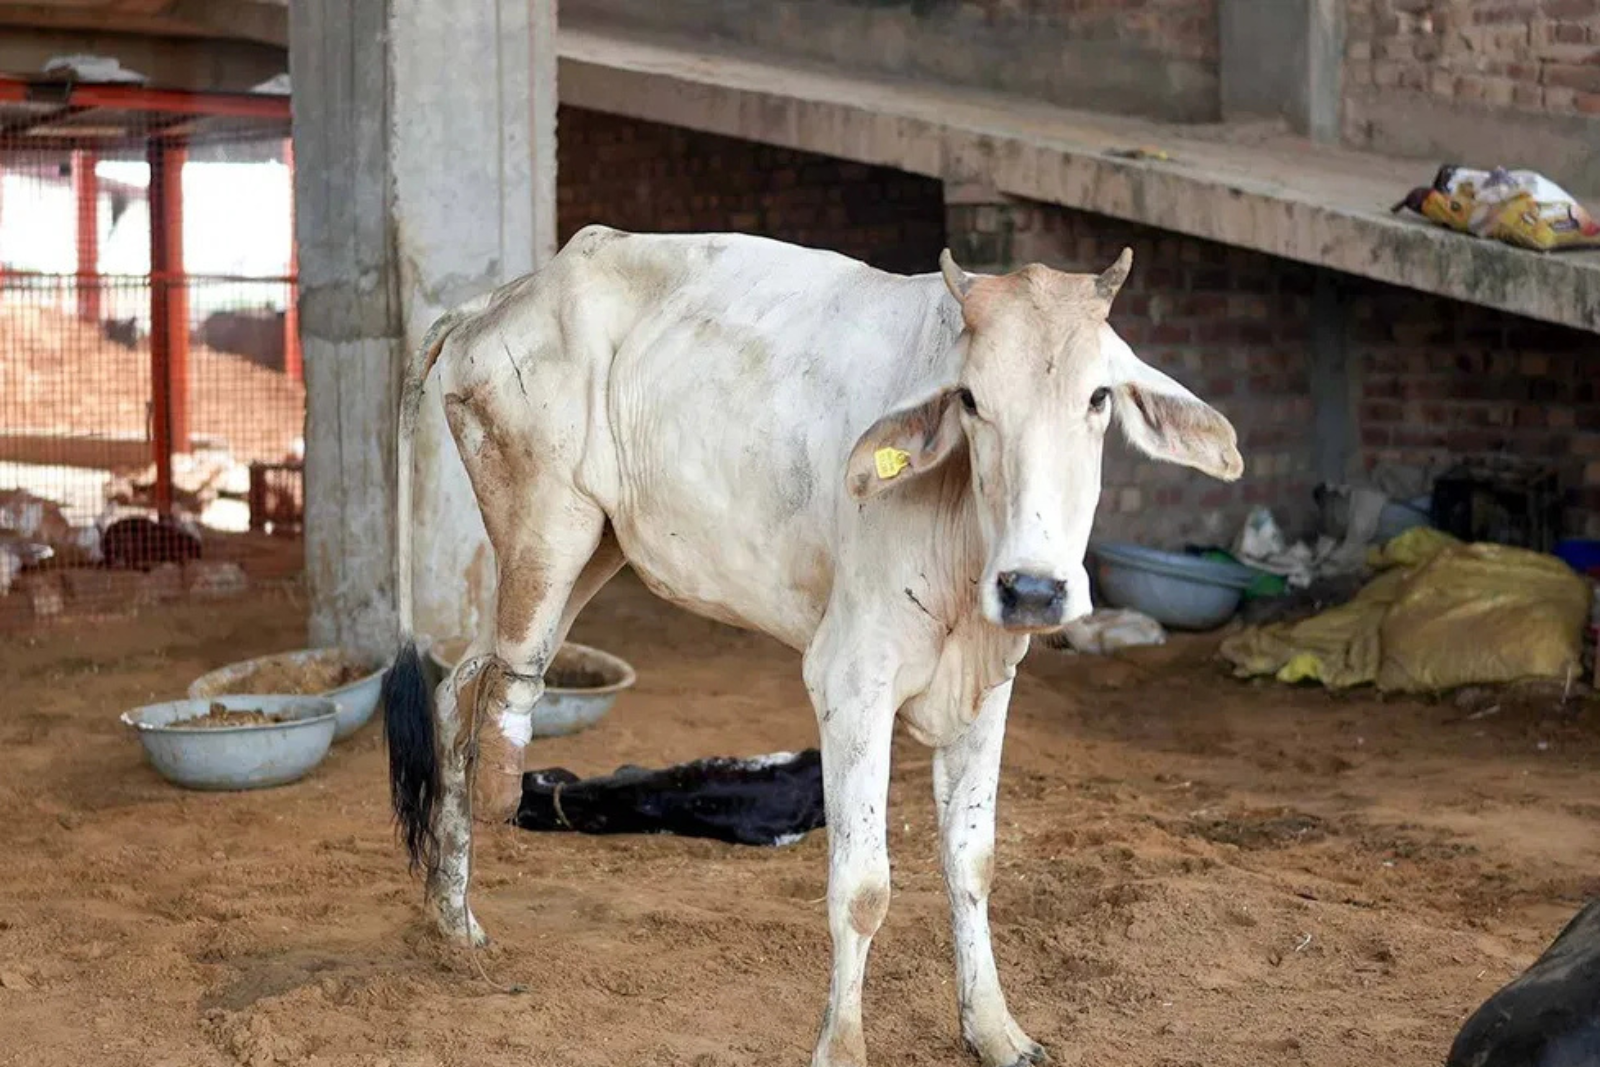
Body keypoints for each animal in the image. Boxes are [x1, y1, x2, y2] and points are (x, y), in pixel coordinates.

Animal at [382, 226, 1242, 1067]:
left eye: (1098, 397)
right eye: (971, 399)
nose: (1033, 588)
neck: (962, 538)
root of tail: (502, 299)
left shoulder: (988, 691)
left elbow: (973, 862)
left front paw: (995, 1029)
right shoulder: (851, 680)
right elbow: (862, 886)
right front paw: (843, 1043)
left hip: (594, 550)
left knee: (460, 688)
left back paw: (453, 921)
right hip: (547, 532)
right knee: (497, 687)